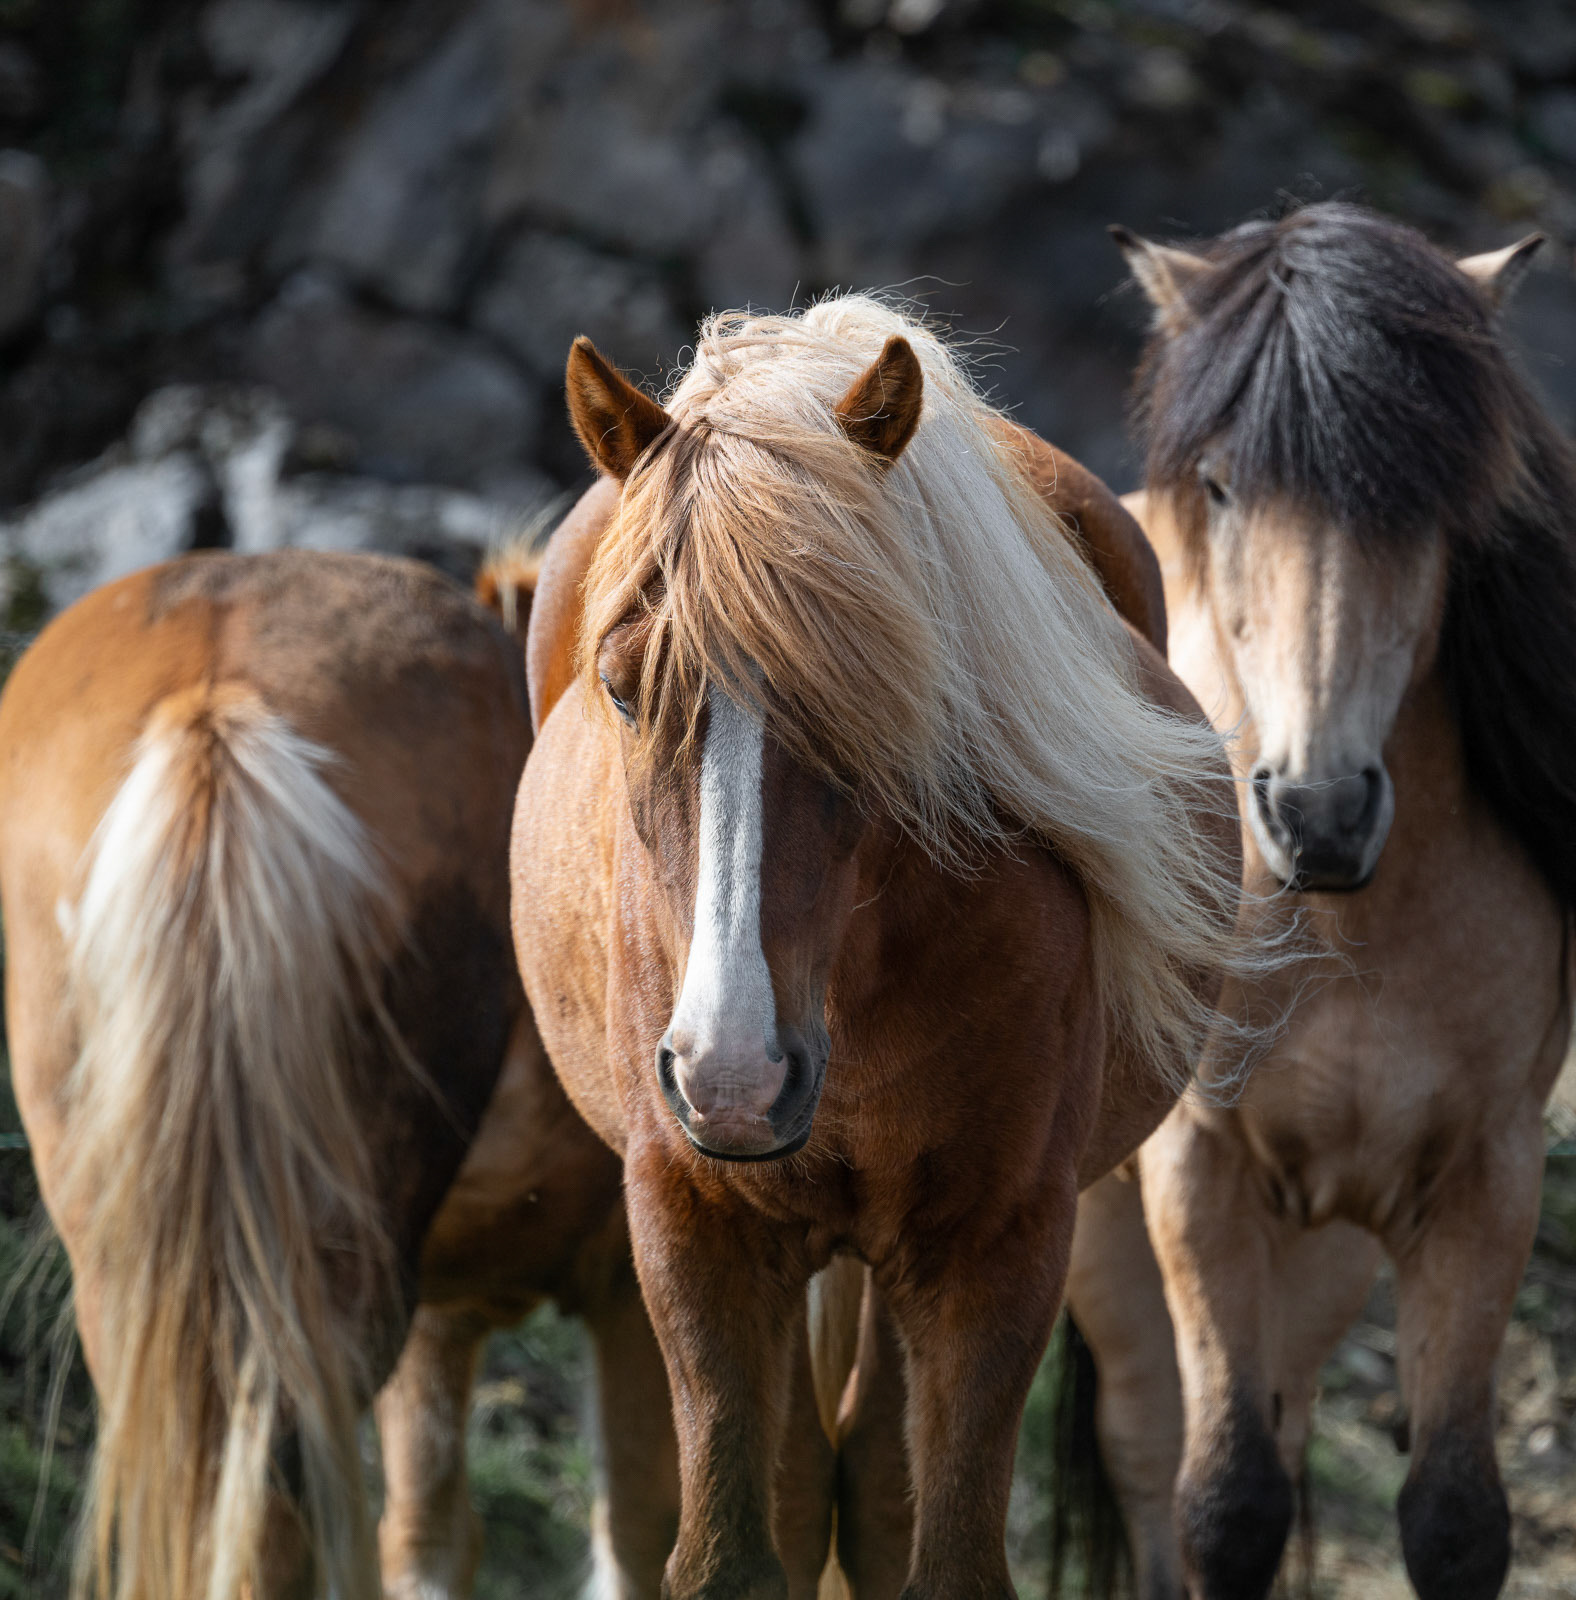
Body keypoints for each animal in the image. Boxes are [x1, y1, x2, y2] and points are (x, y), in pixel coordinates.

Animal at [510, 293, 1247, 1600]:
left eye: (869, 690)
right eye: (621, 687)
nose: (732, 1075)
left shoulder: (995, 1246)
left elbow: (938, 1544)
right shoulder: (697, 1229)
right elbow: (733, 1549)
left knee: (872, 1480)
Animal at [1061, 203, 1576, 1600]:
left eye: (1424, 493)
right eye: (1222, 484)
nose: (1318, 811)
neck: (1350, 926)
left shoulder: (1480, 1179)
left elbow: (1451, 1516)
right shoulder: (1198, 1169)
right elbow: (1224, 1501)